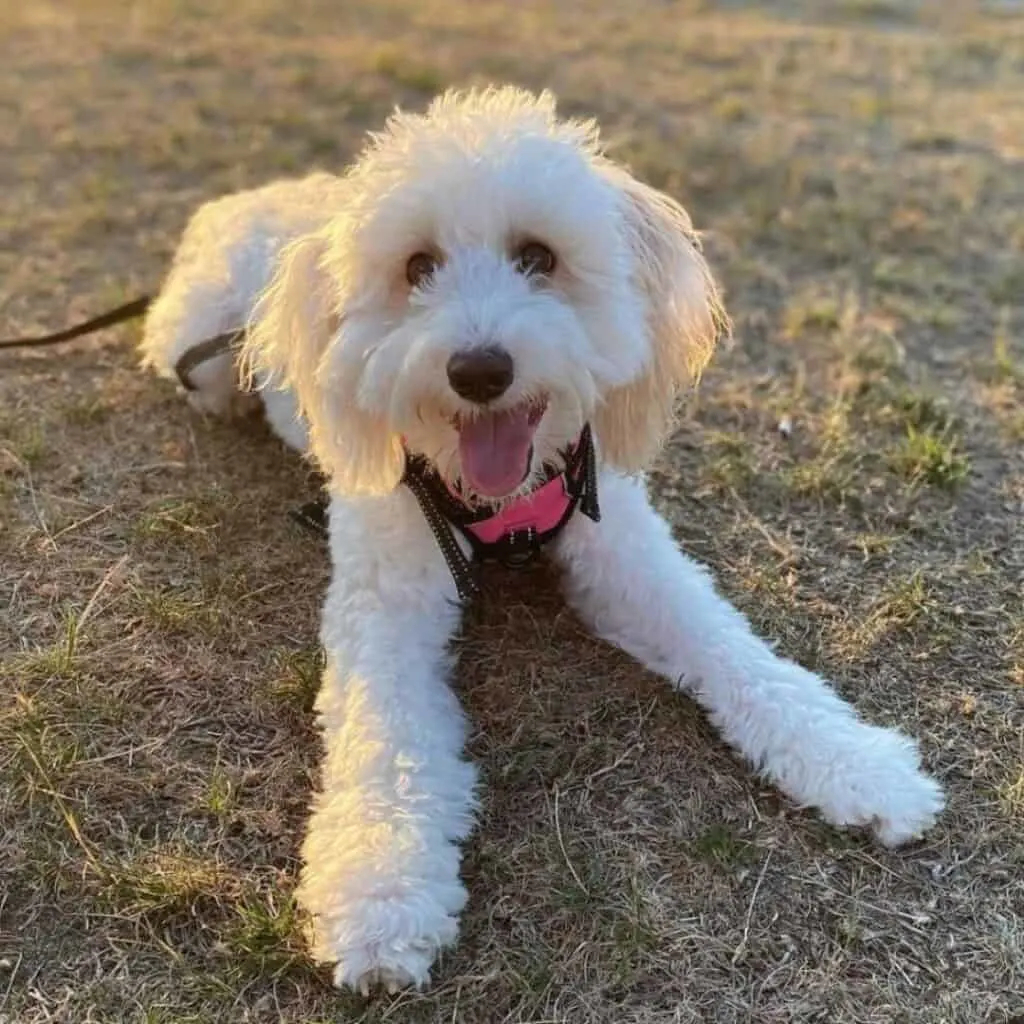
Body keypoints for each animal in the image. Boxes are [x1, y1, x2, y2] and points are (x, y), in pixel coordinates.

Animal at [140, 86, 946, 991]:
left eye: (539, 256)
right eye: (416, 267)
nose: (479, 370)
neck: (501, 497)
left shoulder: (624, 556)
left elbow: (732, 649)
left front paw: (855, 761)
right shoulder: (386, 606)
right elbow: (388, 744)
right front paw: (380, 892)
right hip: (200, 354)